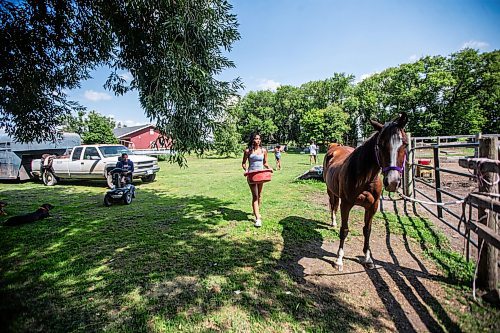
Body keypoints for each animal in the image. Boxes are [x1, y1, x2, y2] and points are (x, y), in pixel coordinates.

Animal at [324, 113, 406, 268]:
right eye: (380, 145)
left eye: (404, 144)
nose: (392, 182)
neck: (365, 179)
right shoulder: (346, 204)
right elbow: (344, 230)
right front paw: (339, 259)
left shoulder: (373, 206)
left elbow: (367, 230)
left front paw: (368, 258)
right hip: (330, 191)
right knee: (333, 206)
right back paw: (333, 222)